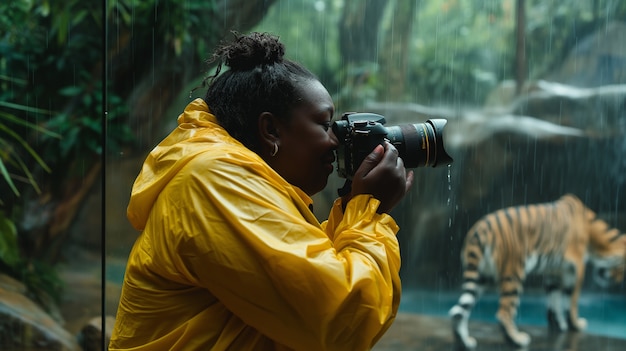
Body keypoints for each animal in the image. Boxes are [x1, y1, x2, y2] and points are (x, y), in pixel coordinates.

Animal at [446, 194, 624, 350]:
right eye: (623, 268)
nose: (619, 280)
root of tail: (480, 230)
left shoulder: (554, 271)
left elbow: (554, 299)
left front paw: (558, 325)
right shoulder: (577, 268)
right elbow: (572, 300)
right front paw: (576, 324)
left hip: (481, 277)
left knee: (459, 311)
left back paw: (465, 342)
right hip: (513, 274)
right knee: (503, 313)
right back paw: (518, 340)